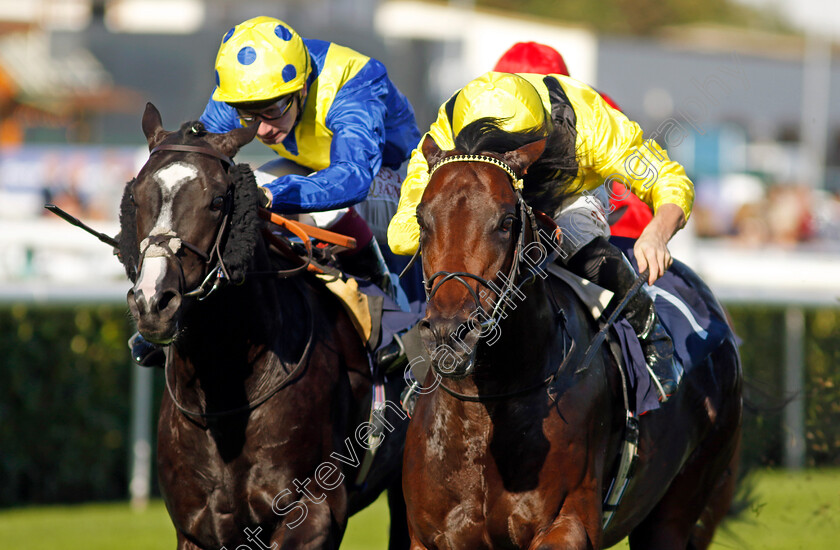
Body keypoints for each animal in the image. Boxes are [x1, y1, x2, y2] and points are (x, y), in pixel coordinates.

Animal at [404, 123, 744, 548]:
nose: (451, 332)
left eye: (505, 222)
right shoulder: (430, 535)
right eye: (422, 220)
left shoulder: (568, 522)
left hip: (679, 508)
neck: (485, 413)